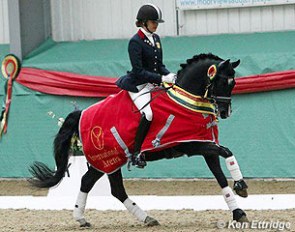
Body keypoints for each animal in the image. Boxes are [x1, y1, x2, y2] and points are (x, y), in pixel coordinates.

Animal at [30, 53, 249, 227]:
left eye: (234, 83)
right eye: (223, 81)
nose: (225, 112)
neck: (187, 101)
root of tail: (82, 112)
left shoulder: (205, 146)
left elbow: (221, 177)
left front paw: (239, 211)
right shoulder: (192, 145)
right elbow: (227, 152)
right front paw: (241, 186)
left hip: (112, 161)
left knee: (111, 188)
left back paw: (143, 218)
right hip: (106, 159)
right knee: (91, 182)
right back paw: (83, 218)